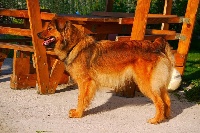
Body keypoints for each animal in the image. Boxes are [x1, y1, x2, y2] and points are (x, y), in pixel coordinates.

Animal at [38, 16, 175, 123]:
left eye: (49, 28)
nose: (38, 34)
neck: (74, 45)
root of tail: (155, 45)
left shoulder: (85, 82)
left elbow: (81, 98)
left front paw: (78, 113)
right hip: (158, 84)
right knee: (167, 100)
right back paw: (166, 117)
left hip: (146, 84)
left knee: (159, 102)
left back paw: (156, 120)